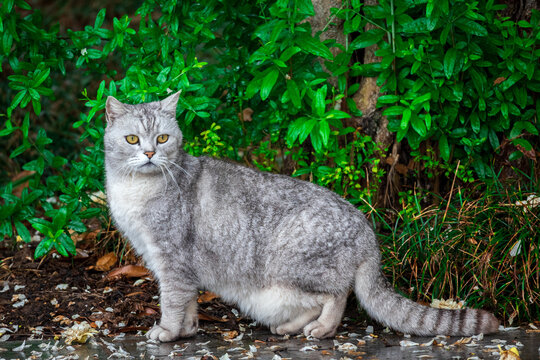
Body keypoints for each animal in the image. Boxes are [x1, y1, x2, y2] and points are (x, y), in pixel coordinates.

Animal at [103, 91, 500, 342]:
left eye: (163, 138)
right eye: (133, 139)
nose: (151, 153)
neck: (133, 190)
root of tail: (367, 230)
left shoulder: (172, 261)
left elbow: (172, 301)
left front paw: (168, 332)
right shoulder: (172, 265)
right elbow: (186, 304)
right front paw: (186, 331)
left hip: (289, 268)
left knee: (337, 296)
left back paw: (322, 329)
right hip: (271, 294)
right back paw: (292, 327)